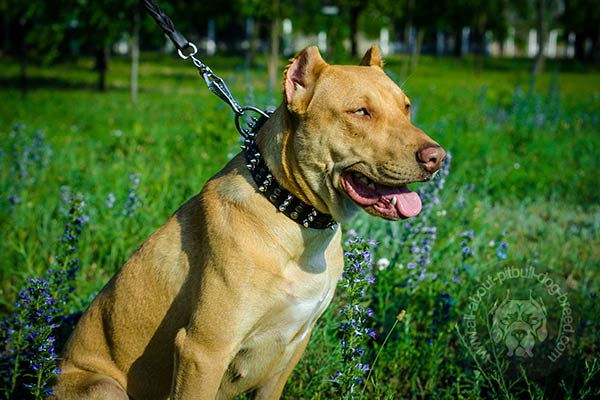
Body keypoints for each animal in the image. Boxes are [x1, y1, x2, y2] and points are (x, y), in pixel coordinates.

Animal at [52, 45, 446, 398]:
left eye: (406, 107)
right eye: (361, 112)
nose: (438, 157)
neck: (293, 214)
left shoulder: (291, 348)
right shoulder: (203, 352)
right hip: (103, 387)